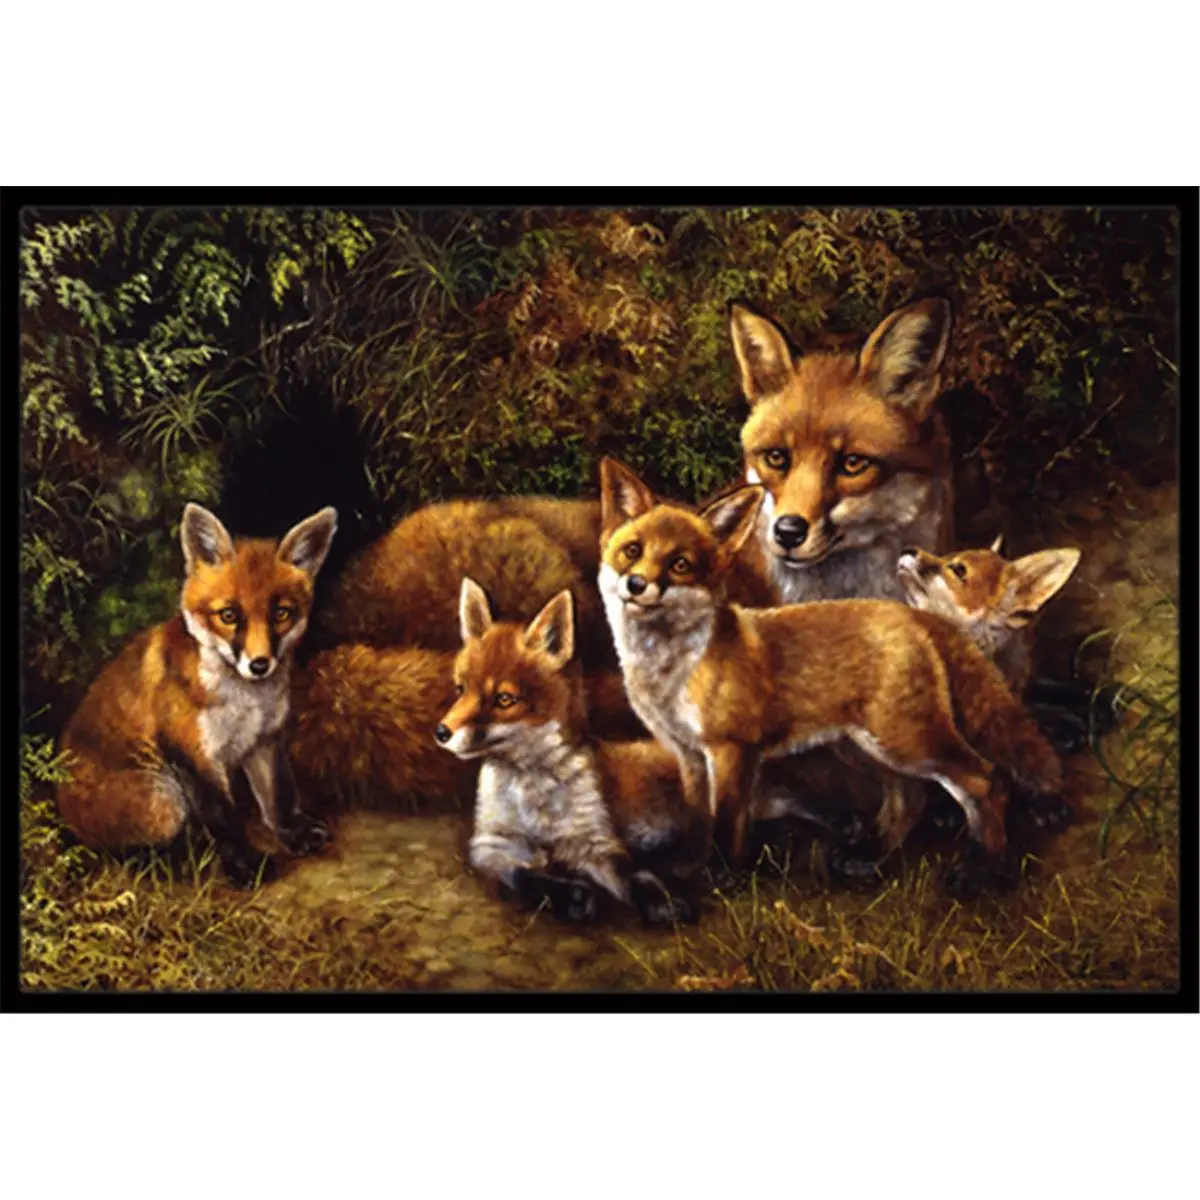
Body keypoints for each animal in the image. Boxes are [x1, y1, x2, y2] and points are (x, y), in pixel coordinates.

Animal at [56, 503, 339, 887]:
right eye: (229, 615)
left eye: (281, 614)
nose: (260, 664)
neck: (246, 701)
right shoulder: (193, 754)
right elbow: (224, 818)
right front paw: (245, 866)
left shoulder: (264, 739)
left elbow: (277, 794)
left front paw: (292, 832)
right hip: (164, 799)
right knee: (121, 850)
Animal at [434, 577, 696, 925]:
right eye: (461, 689)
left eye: (504, 699)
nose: (441, 732)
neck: (533, 794)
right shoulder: (492, 845)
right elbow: (522, 875)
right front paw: (569, 894)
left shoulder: (595, 840)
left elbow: (633, 874)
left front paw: (659, 899)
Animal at [597, 458, 1064, 892]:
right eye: (632, 551)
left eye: (679, 564)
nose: (636, 584)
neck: (673, 669)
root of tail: (914, 614)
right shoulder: (689, 756)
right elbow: (697, 819)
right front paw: (689, 868)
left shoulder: (731, 750)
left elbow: (727, 823)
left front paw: (721, 877)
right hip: (871, 745)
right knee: (912, 798)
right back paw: (870, 855)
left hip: (905, 740)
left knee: (985, 780)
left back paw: (982, 869)